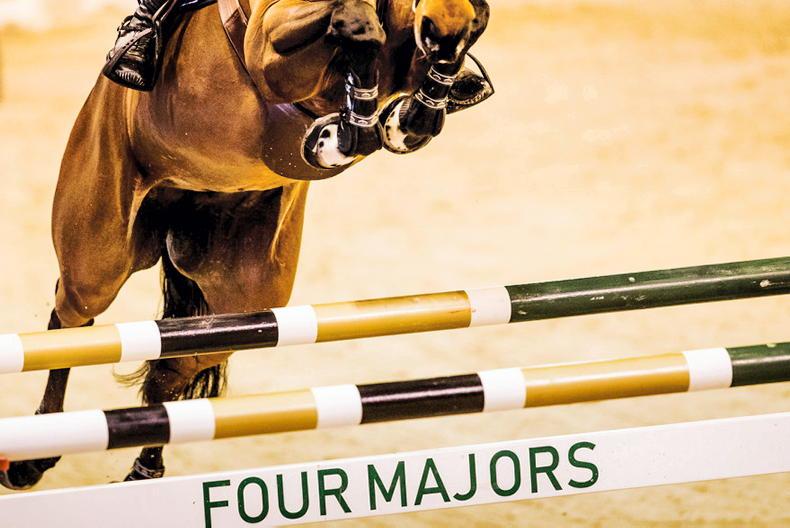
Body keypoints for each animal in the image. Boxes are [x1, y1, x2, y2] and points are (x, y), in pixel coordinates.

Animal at [0, 0, 490, 488]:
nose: (434, 29)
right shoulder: (270, 51)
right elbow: (353, 27)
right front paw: (357, 121)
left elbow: (455, 28)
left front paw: (412, 115)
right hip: (99, 246)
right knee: (72, 319)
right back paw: (32, 458)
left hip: (245, 302)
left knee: (171, 369)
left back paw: (145, 469)